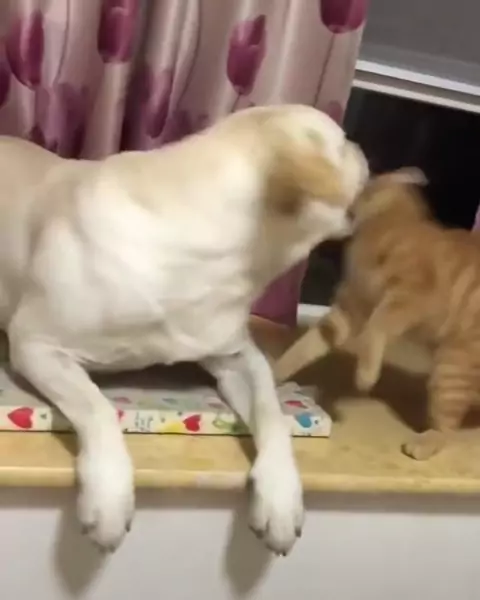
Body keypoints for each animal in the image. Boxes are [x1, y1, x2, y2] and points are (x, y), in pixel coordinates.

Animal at [0, 105, 368, 554]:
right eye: (343, 143)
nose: (363, 148)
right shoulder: (36, 343)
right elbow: (97, 406)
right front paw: (108, 498)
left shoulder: (238, 356)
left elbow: (271, 413)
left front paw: (280, 499)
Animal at [275, 168, 480, 460]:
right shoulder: (348, 312)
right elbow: (303, 347)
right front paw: (275, 371)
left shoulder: (409, 298)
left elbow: (376, 328)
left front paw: (366, 374)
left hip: (451, 367)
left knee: (447, 428)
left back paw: (425, 442)